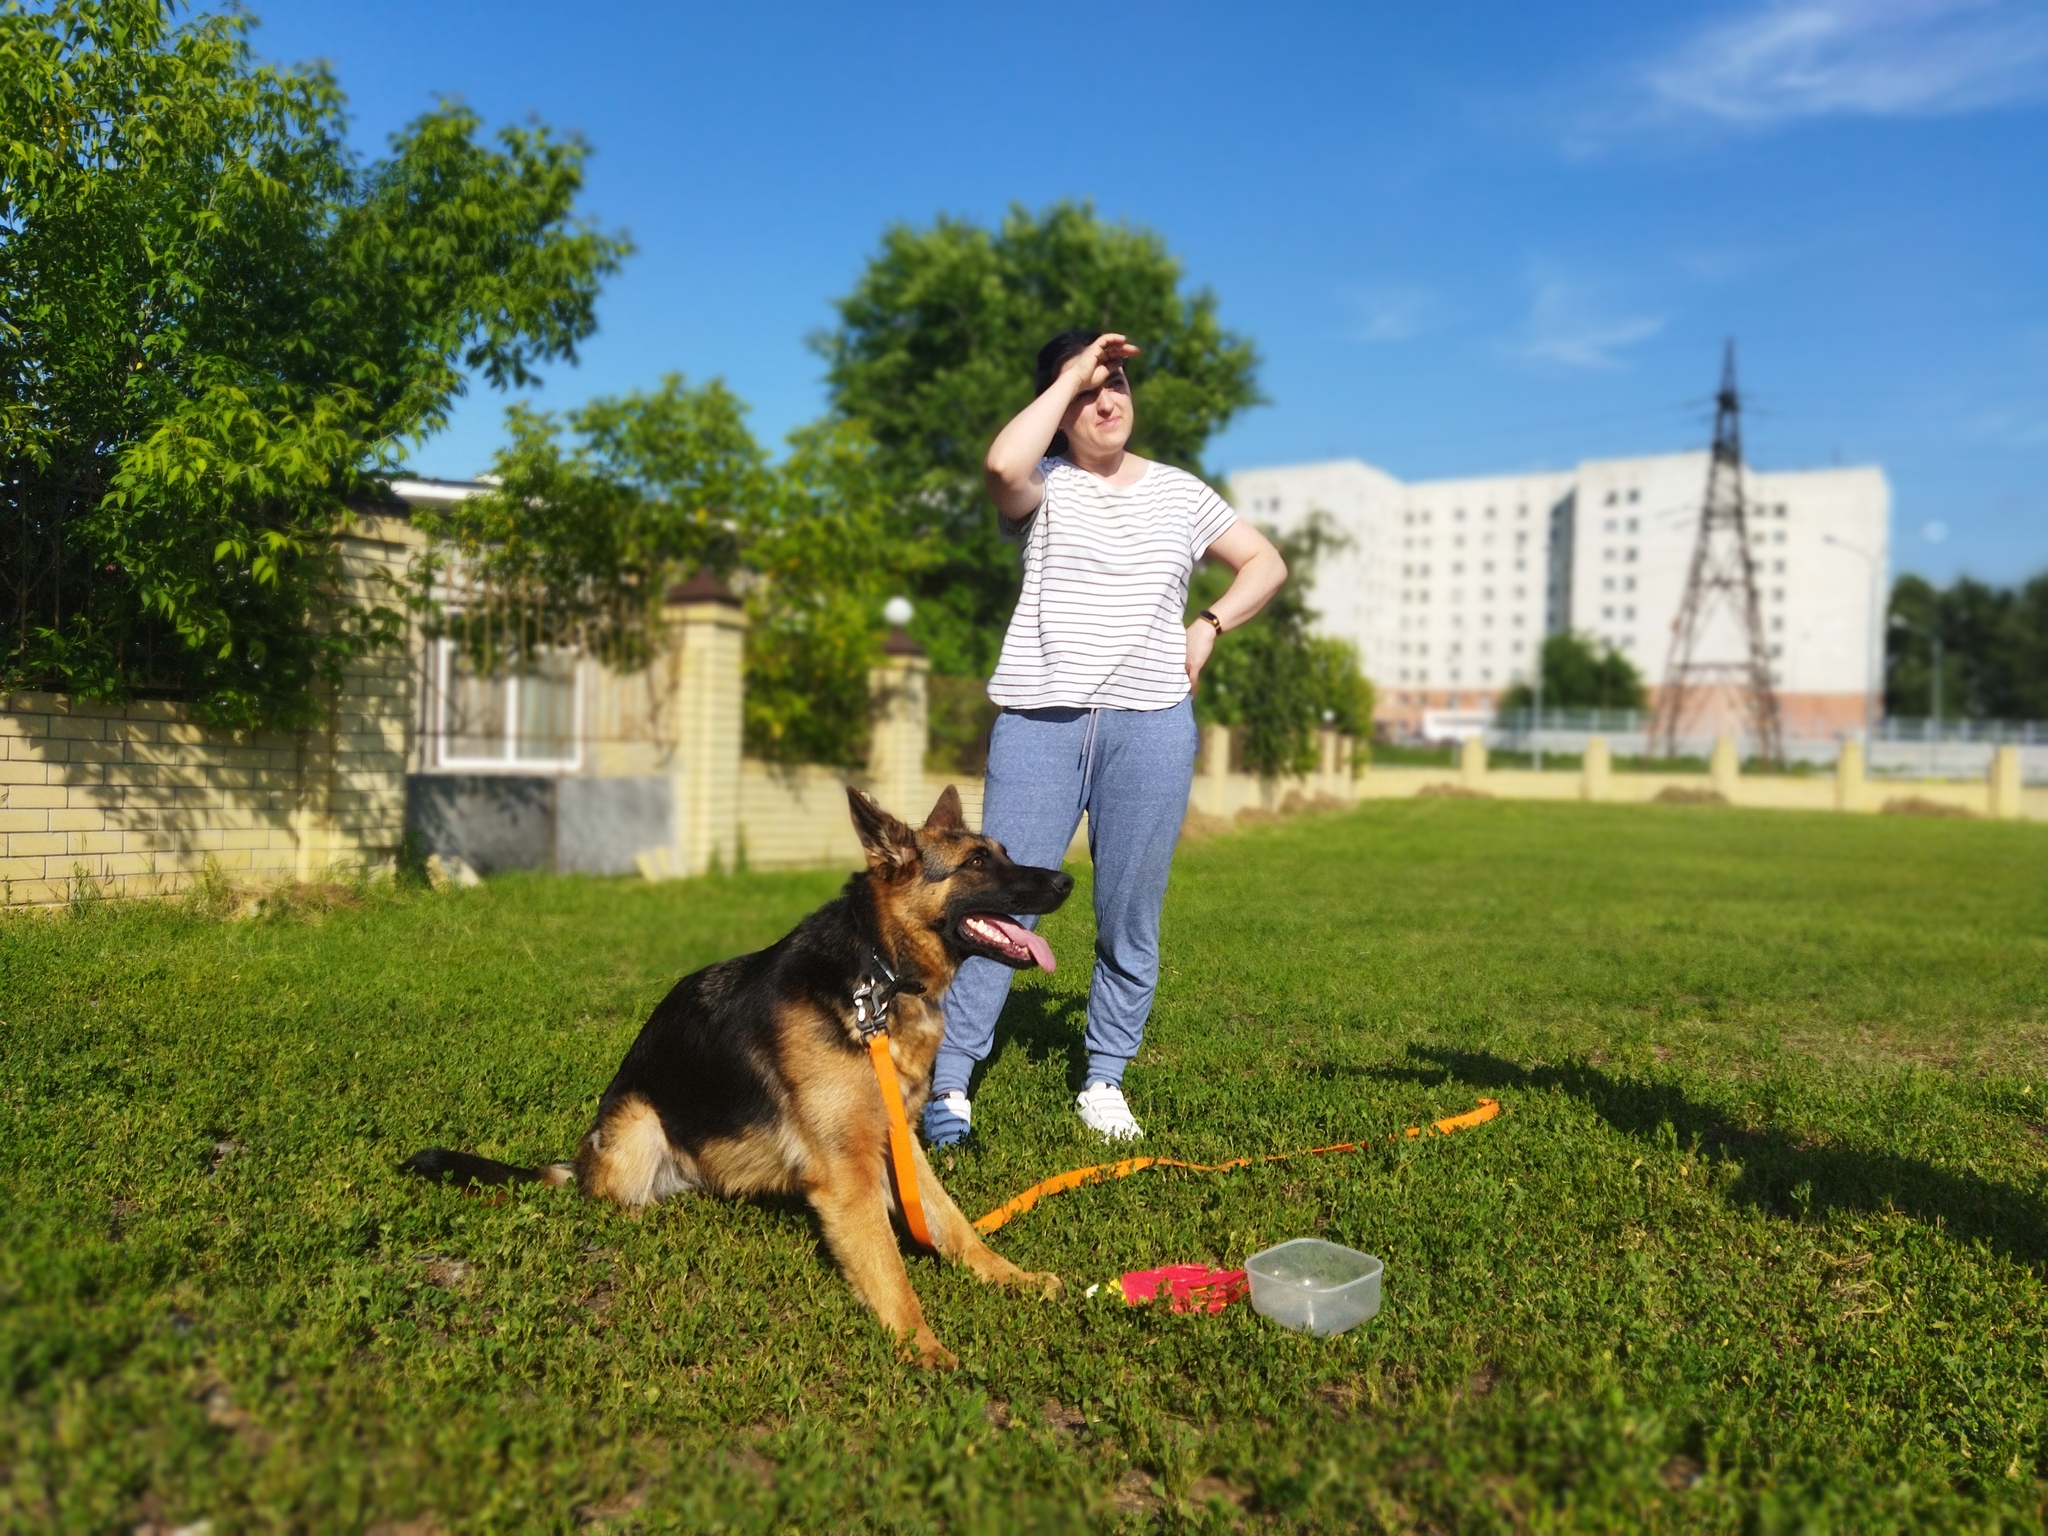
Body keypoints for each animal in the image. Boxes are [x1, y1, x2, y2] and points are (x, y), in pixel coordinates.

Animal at [401, 786, 1073, 1368]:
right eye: (977, 862)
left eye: (1003, 851)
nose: (1067, 880)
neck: (877, 975)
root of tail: (581, 1159)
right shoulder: (848, 1177)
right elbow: (889, 1266)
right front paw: (922, 1345)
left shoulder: (897, 1140)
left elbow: (953, 1223)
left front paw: (1012, 1277)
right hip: (640, 1123)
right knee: (607, 1198)